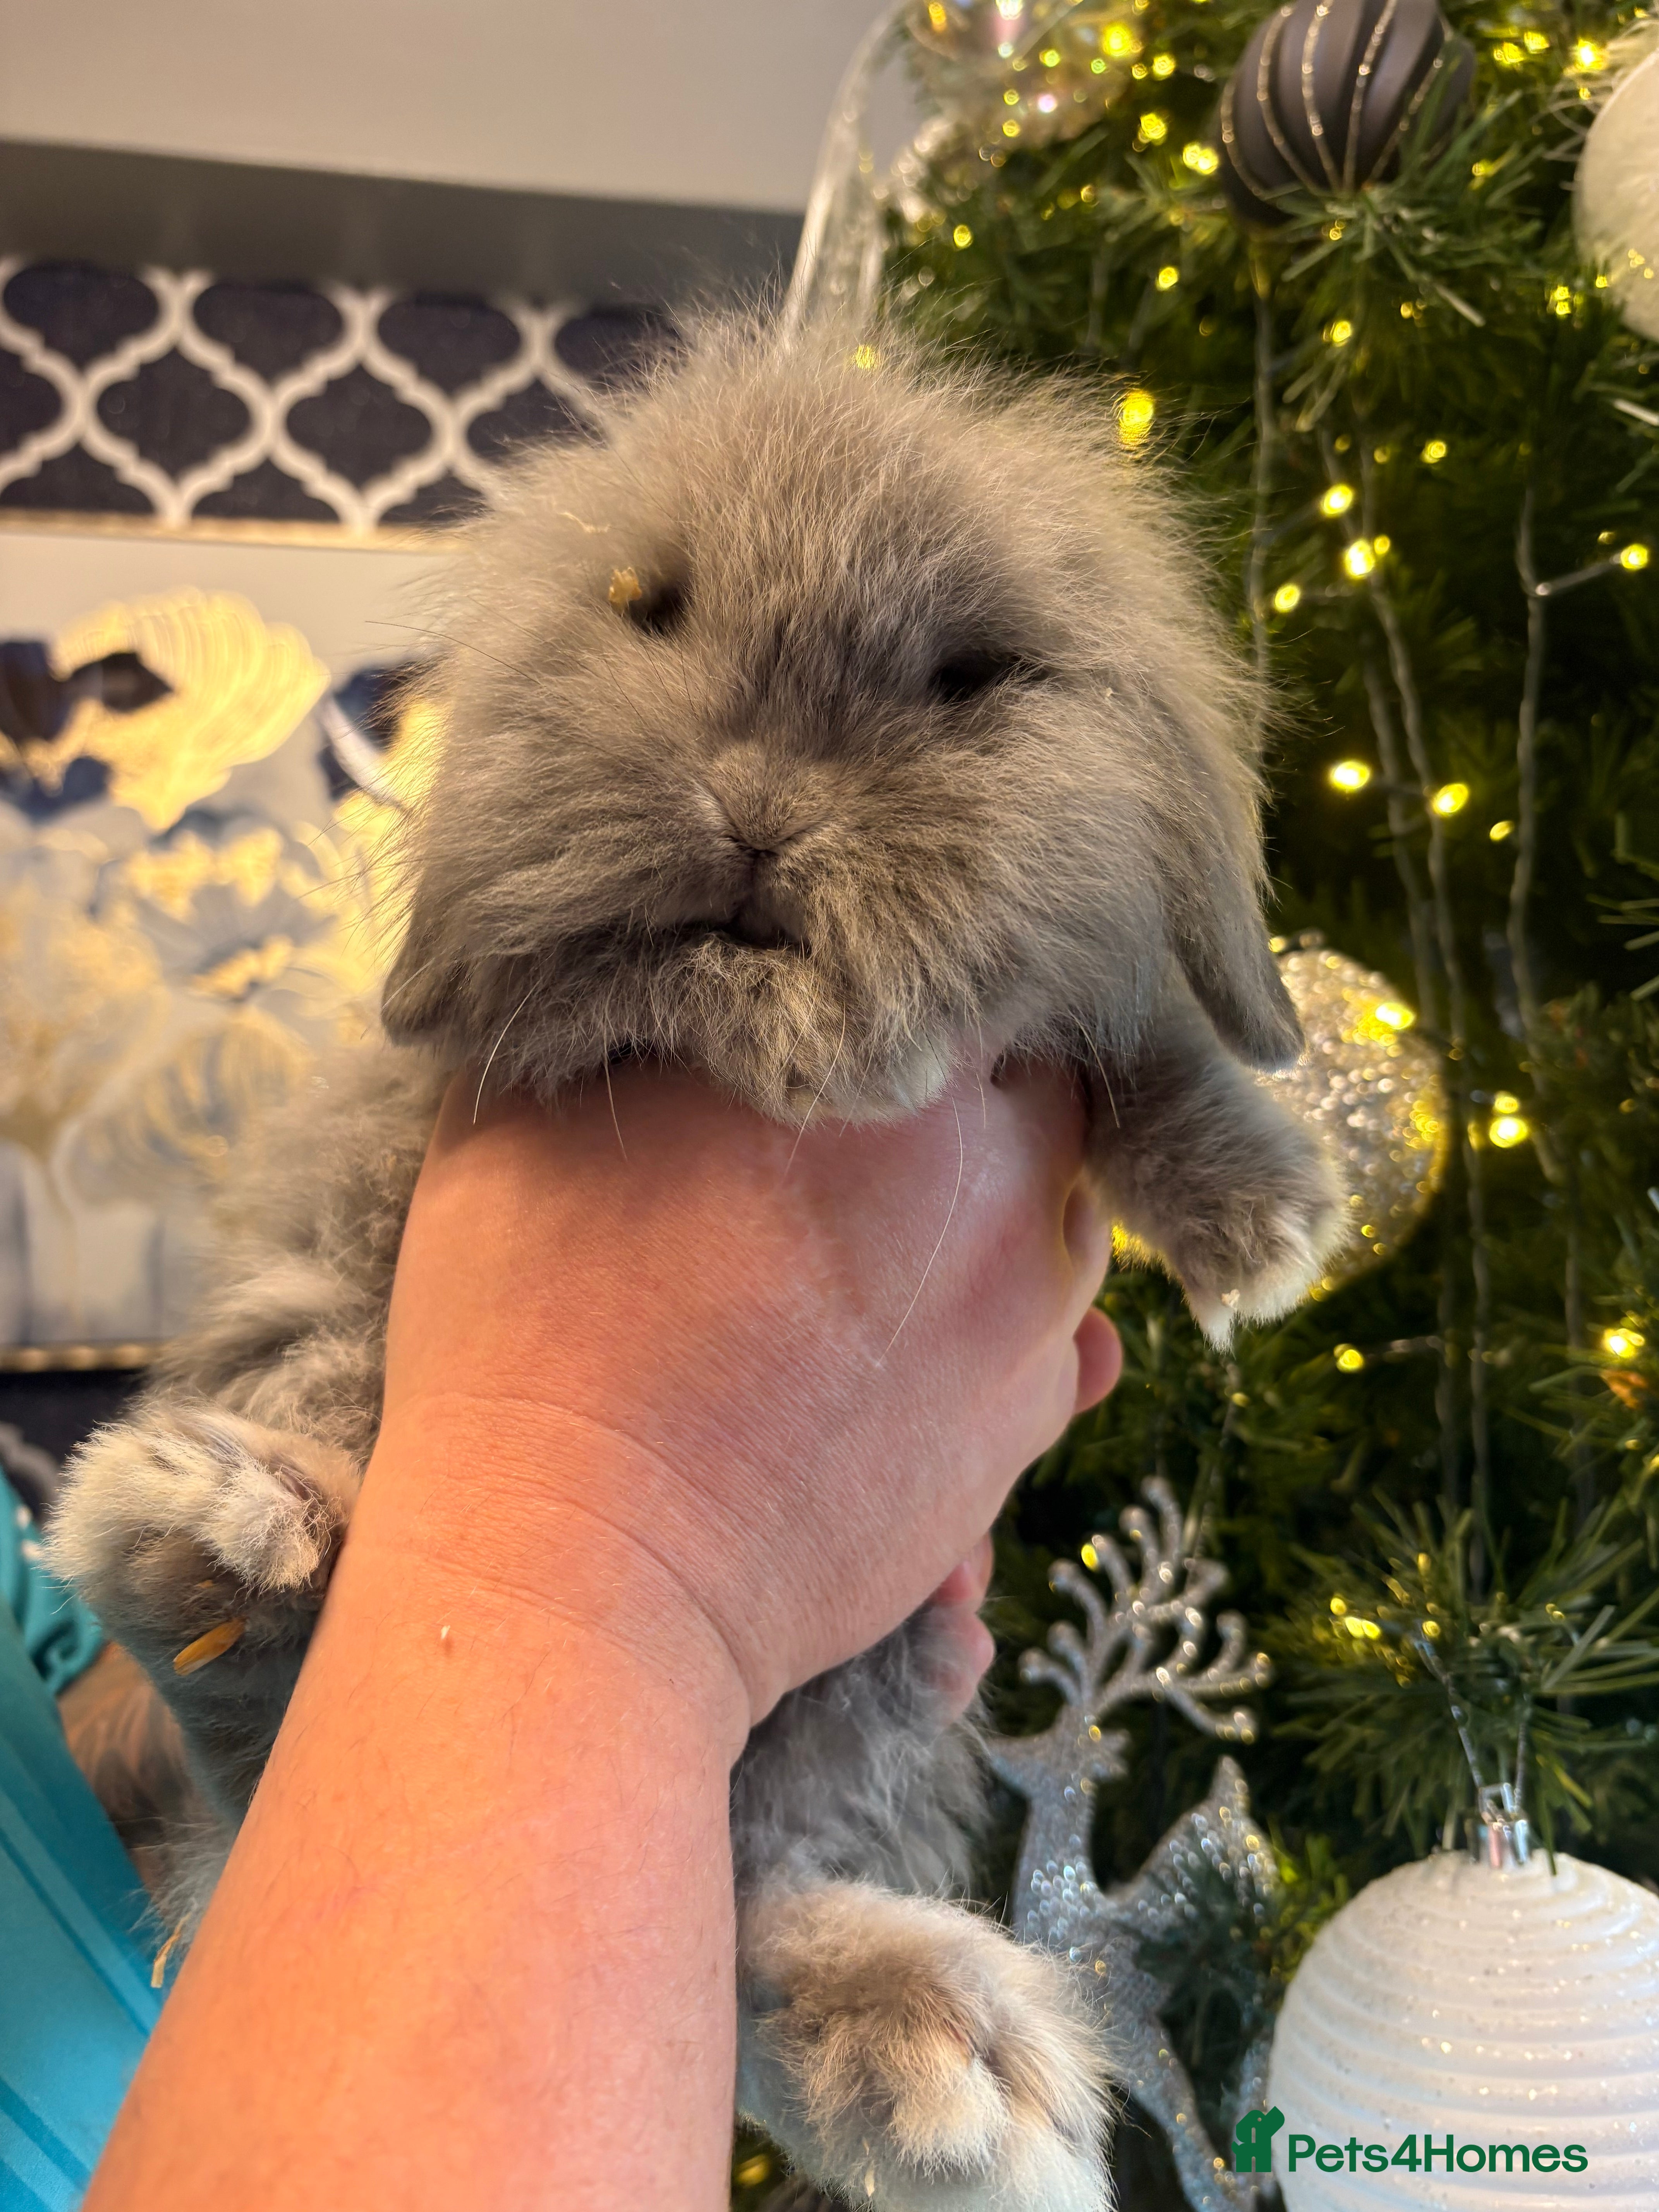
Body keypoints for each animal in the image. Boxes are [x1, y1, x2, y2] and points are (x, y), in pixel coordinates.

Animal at [48, 324, 1343, 2212]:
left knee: (737, 1911)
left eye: (971, 675)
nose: (752, 813)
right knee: (267, 1732)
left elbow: (1146, 1032)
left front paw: (1267, 1220)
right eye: (645, 609)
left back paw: (941, 2065)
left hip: (859, 1704)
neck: (759, 1055)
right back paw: (220, 1539)